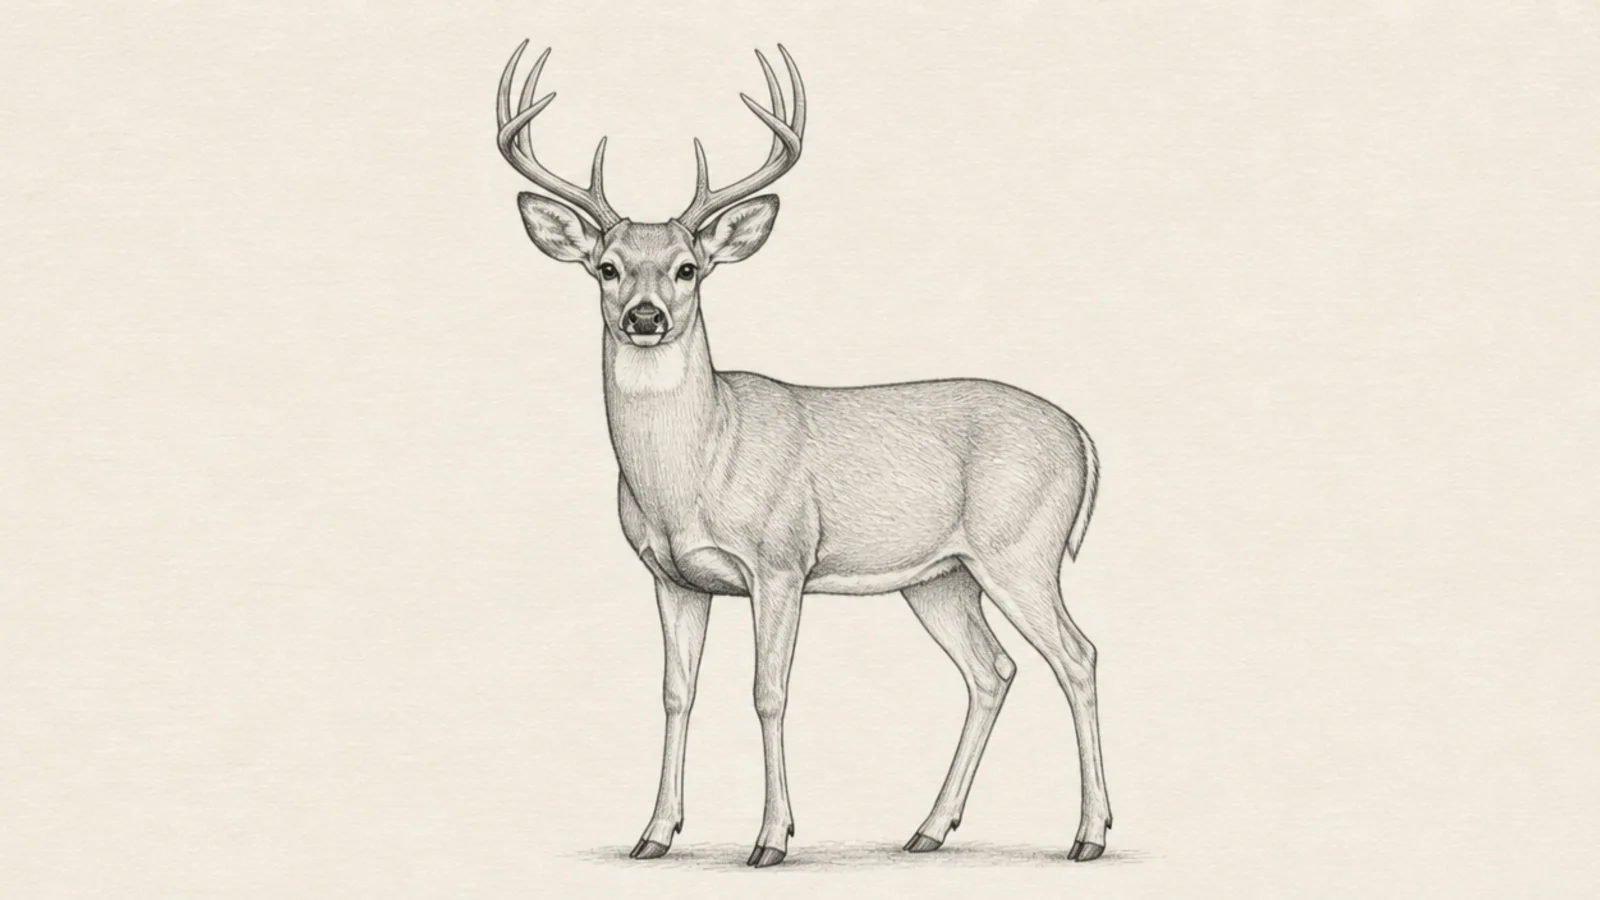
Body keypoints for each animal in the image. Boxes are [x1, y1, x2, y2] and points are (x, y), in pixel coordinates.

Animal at [496, 40, 1111, 868]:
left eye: (689, 267)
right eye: (608, 267)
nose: (645, 317)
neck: (698, 465)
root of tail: (1082, 435)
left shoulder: (781, 561)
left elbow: (768, 692)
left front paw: (772, 839)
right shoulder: (671, 577)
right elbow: (675, 692)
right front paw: (653, 834)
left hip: (1021, 551)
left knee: (1077, 655)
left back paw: (1088, 835)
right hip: (941, 576)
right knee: (992, 669)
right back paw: (927, 829)